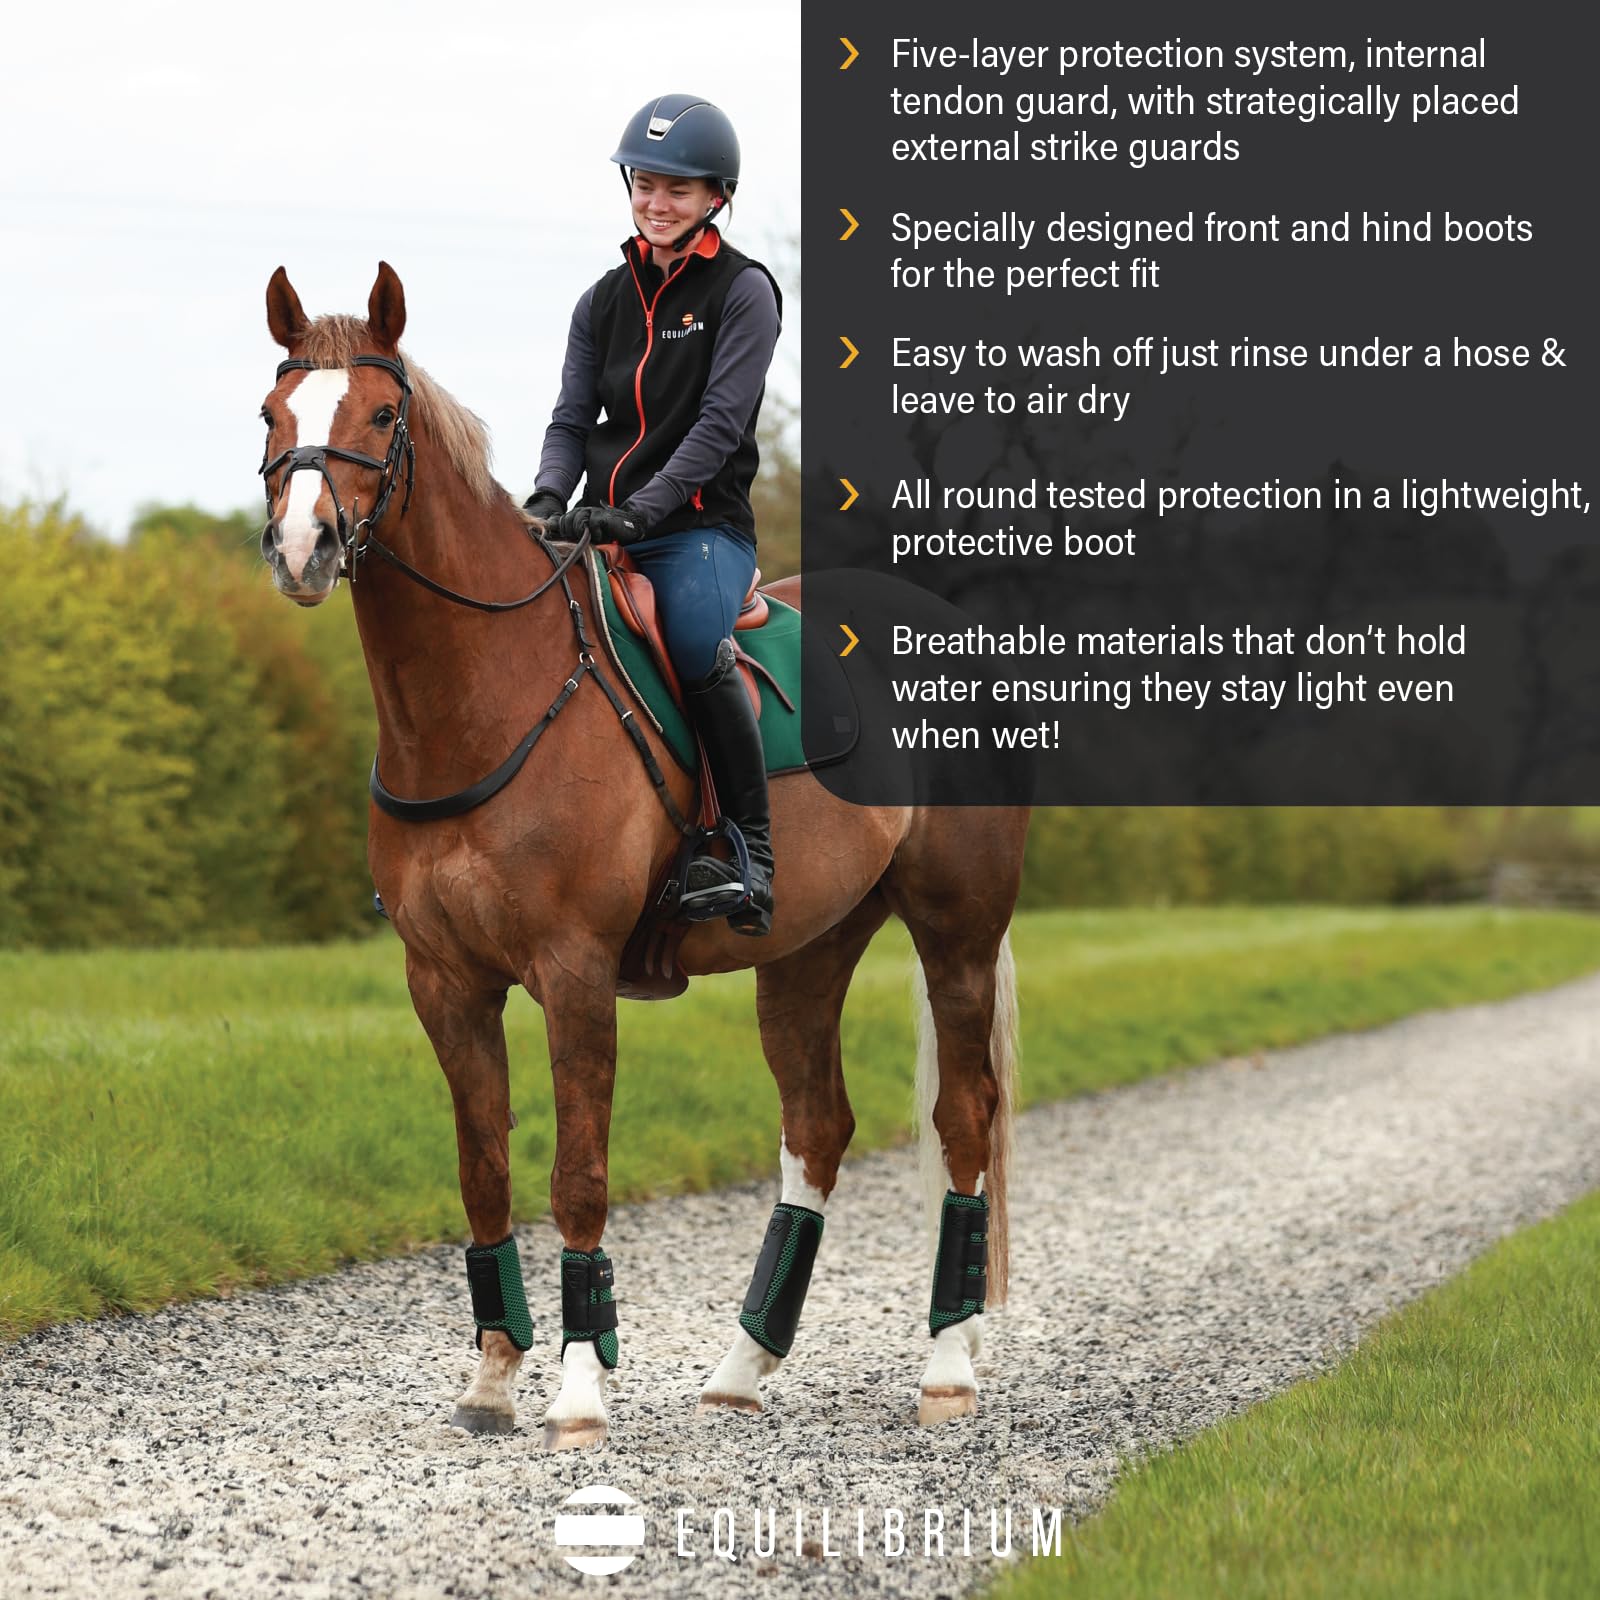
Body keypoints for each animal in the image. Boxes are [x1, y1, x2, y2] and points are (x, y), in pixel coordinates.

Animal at [257, 261, 1028, 1449]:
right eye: (271, 412)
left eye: (383, 415)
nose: (306, 549)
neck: (486, 692)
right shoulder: (446, 983)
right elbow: (484, 1173)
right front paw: (492, 1377)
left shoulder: (574, 973)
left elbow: (577, 1174)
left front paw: (579, 1389)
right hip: (805, 950)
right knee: (817, 1128)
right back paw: (743, 1365)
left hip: (956, 931)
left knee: (963, 1119)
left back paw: (947, 1367)